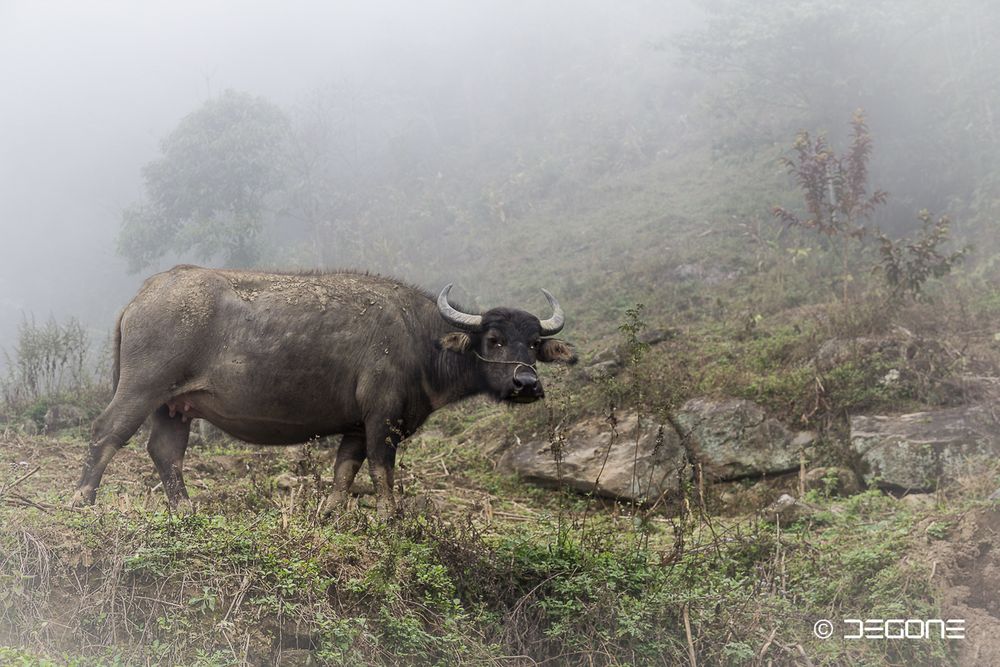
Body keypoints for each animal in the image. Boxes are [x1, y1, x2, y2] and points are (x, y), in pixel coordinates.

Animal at [72, 266, 580, 516]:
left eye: (534, 344)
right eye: (493, 340)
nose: (526, 384)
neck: (420, 340)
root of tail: (144, 294)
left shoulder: (355, 426)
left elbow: (344, 472)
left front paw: (332, 514)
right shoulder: (382, 418)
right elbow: (381, 470)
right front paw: (389, 518)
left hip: (174, 405)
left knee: (165, 451)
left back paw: (185, 510)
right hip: (142, 386)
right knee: (105, 432)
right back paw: (83, 500)